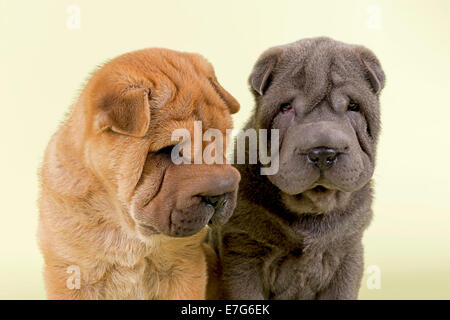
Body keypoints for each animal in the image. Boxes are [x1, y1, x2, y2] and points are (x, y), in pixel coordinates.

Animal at [38, 48, 241, 300]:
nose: (218, 196)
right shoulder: (73, 271)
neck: (126, 224)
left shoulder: (184, 265)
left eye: (220, 142)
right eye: (170, 151)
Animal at [209, 37, 384, 300]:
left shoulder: (348, 252)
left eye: (353, 106)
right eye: (286, 108)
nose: (323, 153)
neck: (313, 204)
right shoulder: (243, 253)